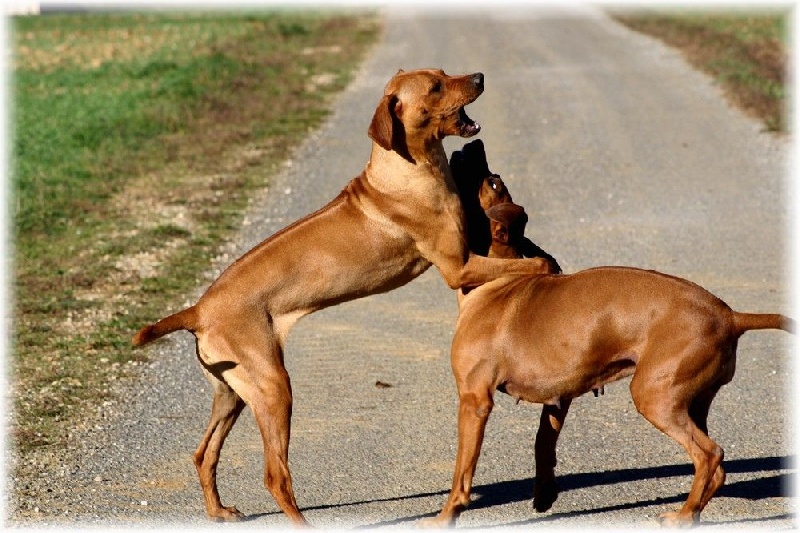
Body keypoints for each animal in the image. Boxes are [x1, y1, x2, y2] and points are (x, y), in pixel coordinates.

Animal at [133, 67, 556, 524]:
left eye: (444, 73)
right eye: (436, 87)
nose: (477, 76)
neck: (407, 171)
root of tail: (198, 309)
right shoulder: (458, 266)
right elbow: (527, 264)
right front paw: (547, 265)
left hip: (234, 393)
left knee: (203, 454)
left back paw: (218, 510)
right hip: (274, 388)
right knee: (275, 477)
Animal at [428, 202, 792, 524]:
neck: (499, 282)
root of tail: (730, 315)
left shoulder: (474, 400)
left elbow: (462, 472)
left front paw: (446, 516)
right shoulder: (559, 397)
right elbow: (543, 444)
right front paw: (544, 495)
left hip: (655, 397)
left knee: (710, 455)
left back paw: (683, 516)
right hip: (692, 401)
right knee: (716, 469)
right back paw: (692, 513)